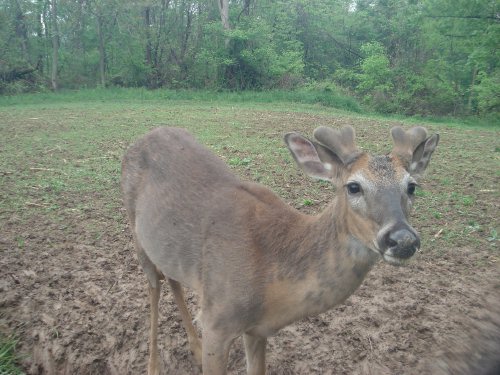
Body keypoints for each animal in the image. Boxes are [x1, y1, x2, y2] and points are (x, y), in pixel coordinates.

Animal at [123, 125, 440, 374]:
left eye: (412, 186)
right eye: (353, 186)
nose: (403, 239)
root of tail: (144, 136)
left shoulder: (256, 330)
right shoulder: (217, 319)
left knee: (172, 278)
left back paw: (195, 350)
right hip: (135, 229)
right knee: (153, 286)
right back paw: (153, 366)